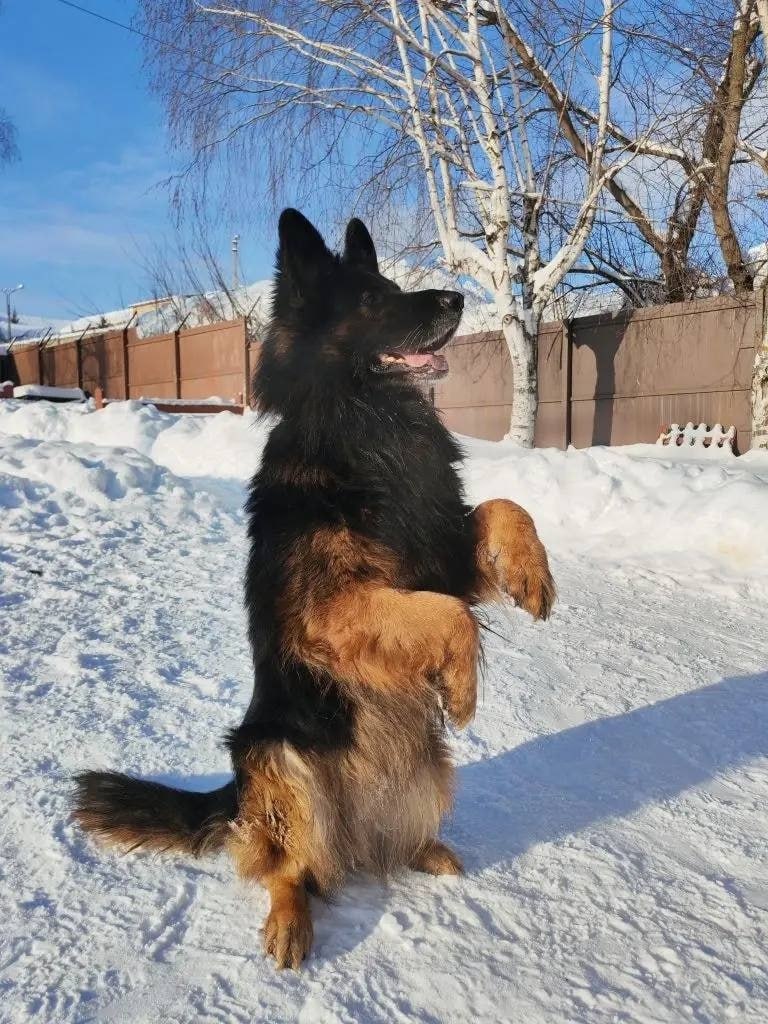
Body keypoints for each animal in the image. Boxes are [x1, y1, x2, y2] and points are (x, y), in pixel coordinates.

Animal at [73, 209, 555, 969]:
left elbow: (502, 509)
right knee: (290, 870)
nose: (456, 299)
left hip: (428, 769)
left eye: (395, 288)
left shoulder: (441, 553)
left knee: (378, 846)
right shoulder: (331, 611)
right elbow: (449, 615)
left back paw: (426, 850)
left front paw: (533, 574)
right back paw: (290, 920)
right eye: (374, 301)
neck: (369, 424)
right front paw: (463, 688)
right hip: (280, 762)